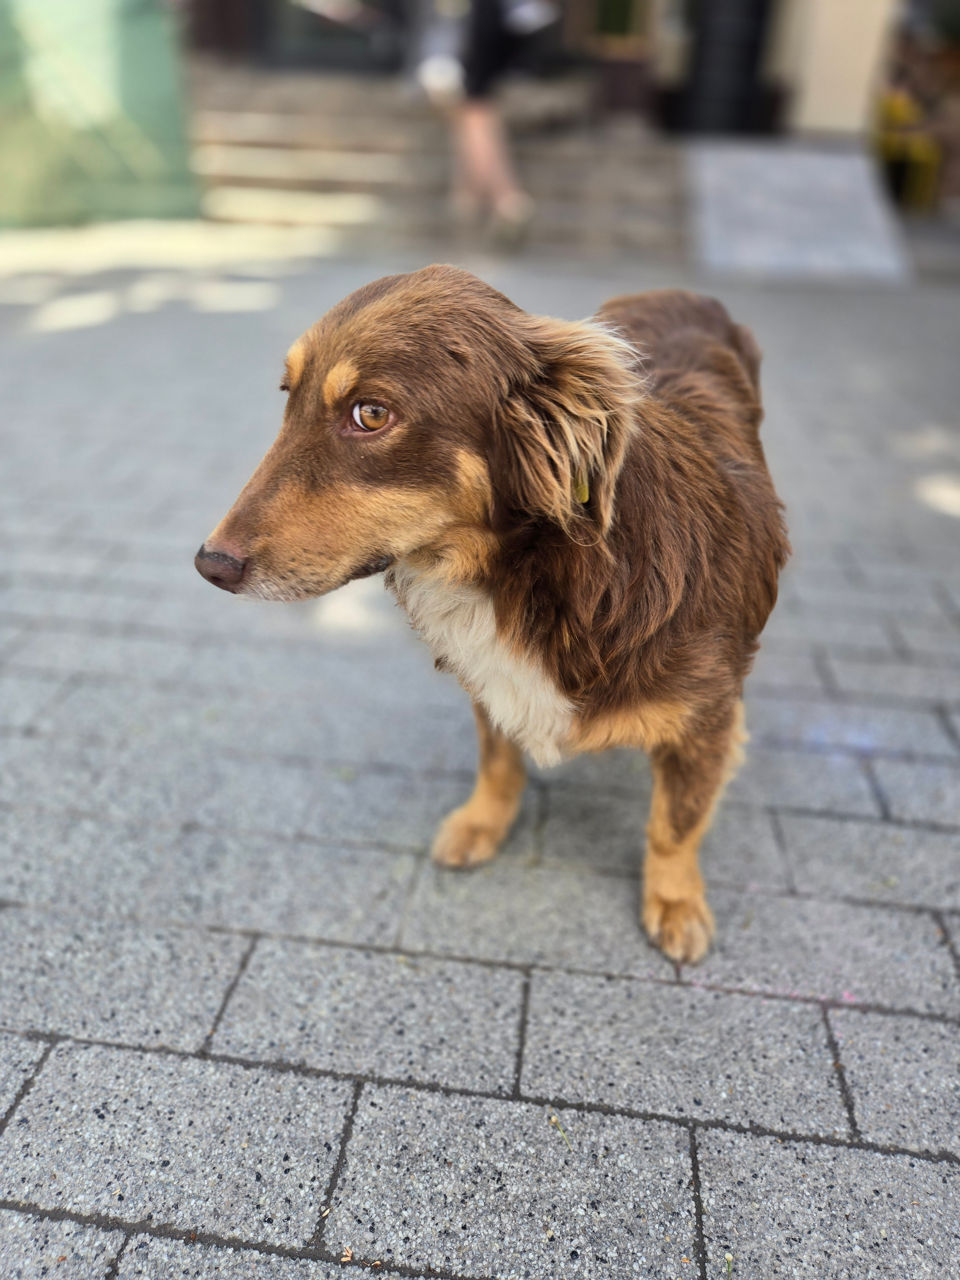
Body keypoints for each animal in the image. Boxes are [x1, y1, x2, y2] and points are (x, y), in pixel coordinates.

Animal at [195, 264, 788, 962]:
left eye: (371, 414)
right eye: (289, 395)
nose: (209, 565)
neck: (528, 578)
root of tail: (681, 288)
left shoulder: (708, 719)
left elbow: (675, 821)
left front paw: (674, 902)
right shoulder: (487, 678)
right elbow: (498, 760)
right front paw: (482, 823)